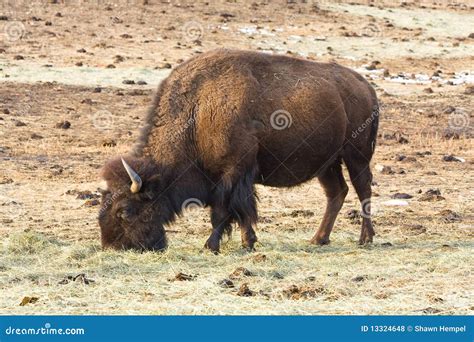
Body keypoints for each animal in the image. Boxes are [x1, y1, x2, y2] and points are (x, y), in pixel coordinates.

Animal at [98, 49, 380, 254]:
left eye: (124, 210)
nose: (113, 246)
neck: (197, 113)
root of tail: (365, 87)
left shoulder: (232, 172)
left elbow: (223, 211)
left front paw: (211, 246)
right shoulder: (238, 177)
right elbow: (243, 211)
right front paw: (248, 242)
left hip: (356, 155)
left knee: (363, 190)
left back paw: (365, 239)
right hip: (328, 164)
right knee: (337, 192)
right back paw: (318, 239)